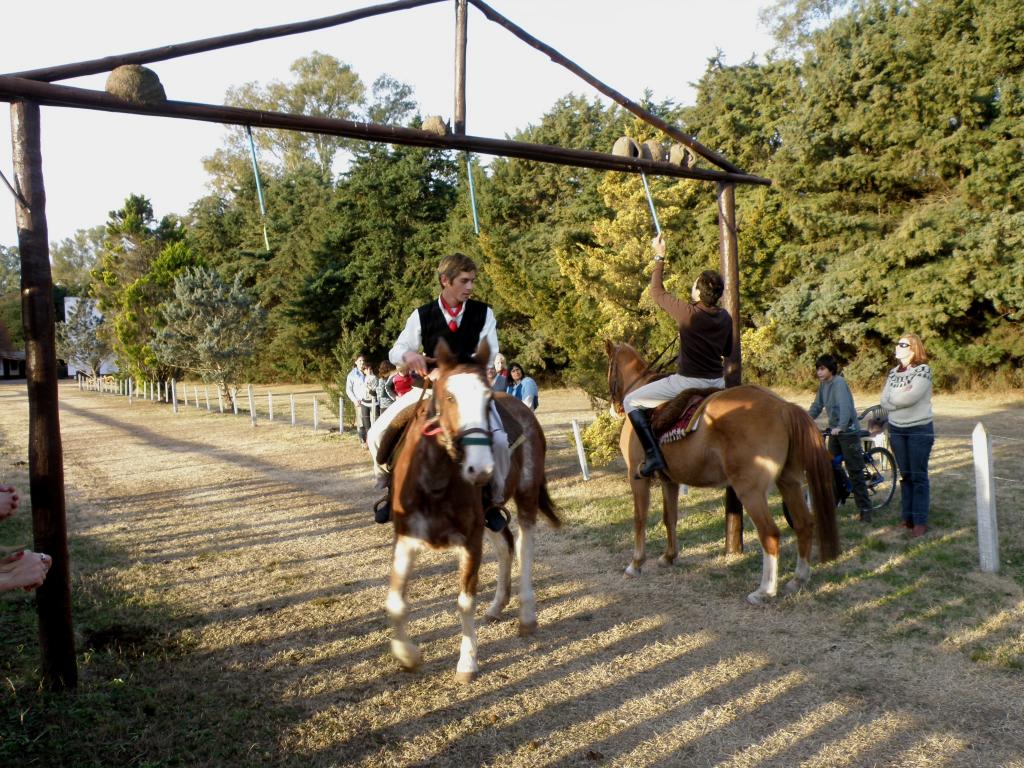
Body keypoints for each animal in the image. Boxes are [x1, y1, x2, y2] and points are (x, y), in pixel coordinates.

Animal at [385, 339, 561, 684]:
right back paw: (497, 606)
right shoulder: (407, 537)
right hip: (490, 518)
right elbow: (396, 603)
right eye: (449, 396)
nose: (480, 468)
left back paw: (526, 615)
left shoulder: (469, 540)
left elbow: (465, 602)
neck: (436, 480)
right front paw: (407, 655)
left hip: (525, 496)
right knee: (506, 545)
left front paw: (467, 662)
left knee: (524, 546)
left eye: (487, 398)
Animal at [602, 344, 835, 606]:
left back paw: (764, 590)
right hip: (789, 482)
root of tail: (783, 407)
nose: (614, 407)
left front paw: (636, 563)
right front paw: (669, 557)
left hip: (750, 491)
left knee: (770, 534)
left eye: (609, 366)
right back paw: (798, 579)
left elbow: (639, 518)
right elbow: (670, 518)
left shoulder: (638, 477)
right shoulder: (669, 480)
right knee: (804, 524)